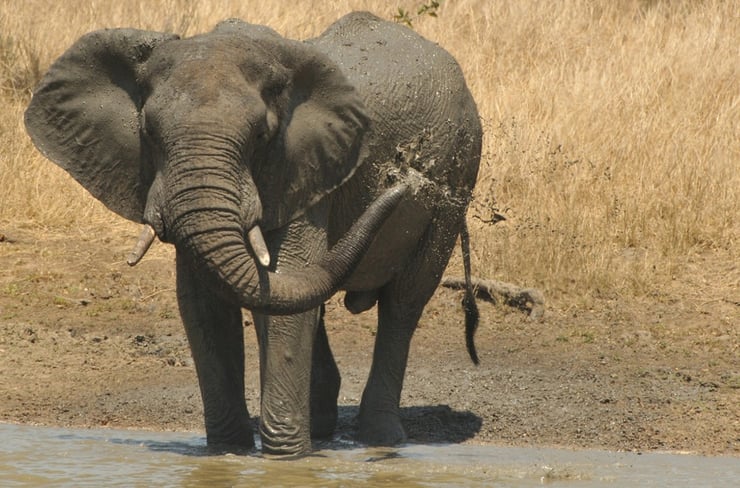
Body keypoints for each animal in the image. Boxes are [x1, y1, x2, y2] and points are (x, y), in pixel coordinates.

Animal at [25, 11, 482, 456]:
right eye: (148, 132)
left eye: (260, 135)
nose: (404, 178)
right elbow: (204, 304)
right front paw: (228, 453)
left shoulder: (304, 168)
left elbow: (285, 286)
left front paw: (284, 458)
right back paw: (321, 429)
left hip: (458, 177)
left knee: (404, 303)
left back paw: (381, 438)